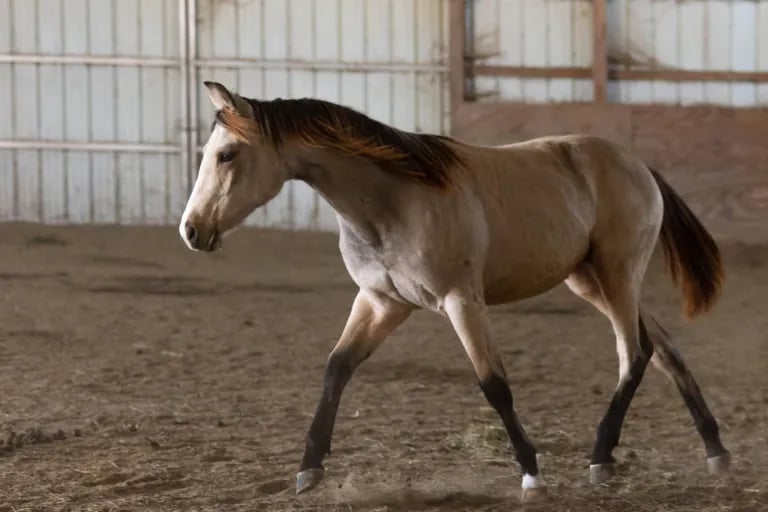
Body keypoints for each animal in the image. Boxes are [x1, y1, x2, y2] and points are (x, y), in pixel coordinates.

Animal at [179, 81, 730, 502]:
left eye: (227, 154)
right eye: (208, 153)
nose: (191, 230)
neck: (392, 199)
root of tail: (639, 167)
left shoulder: (461, 301)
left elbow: (494, 385)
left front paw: (531, 474)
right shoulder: (381, 302)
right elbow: (337, 368)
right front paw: (309, 468)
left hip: (616, 275)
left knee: (633, 353)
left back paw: (601, 457)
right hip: (593, 280)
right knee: (663, 349)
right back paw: (714, 452)